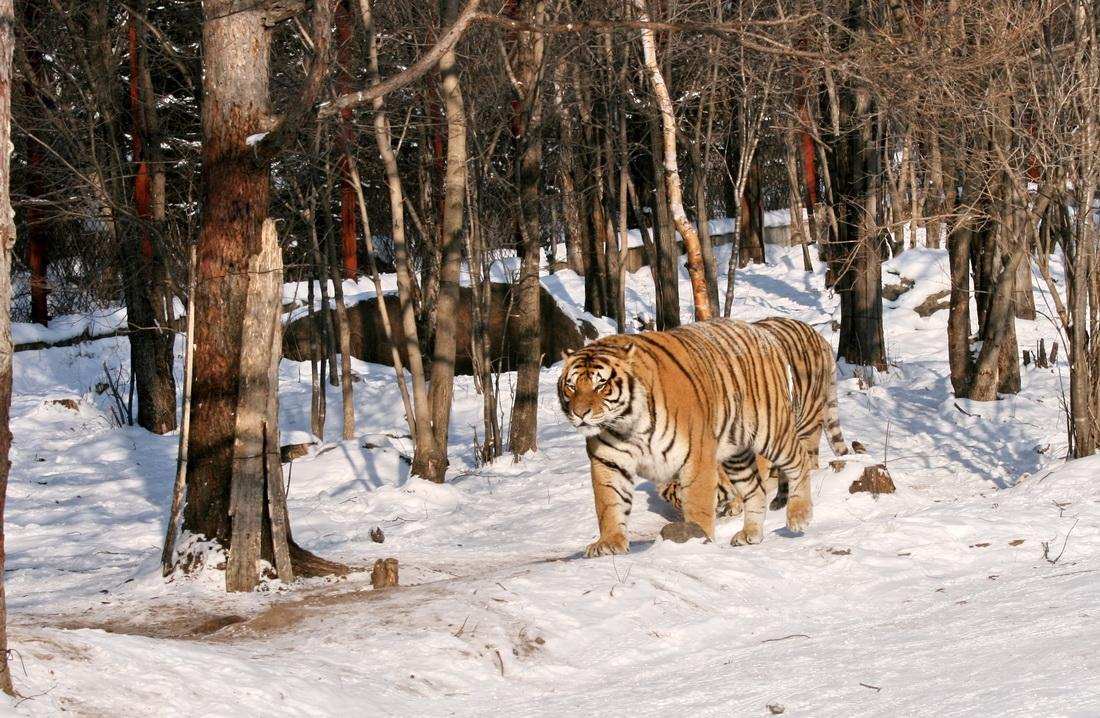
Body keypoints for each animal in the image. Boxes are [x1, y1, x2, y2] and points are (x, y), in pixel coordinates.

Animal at [563, 316, 822, 556]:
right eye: (571, 387)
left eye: (601, 385)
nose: (580, 413)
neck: (628, 424)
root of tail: (758, 329)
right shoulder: (608, 460)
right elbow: (609, 502)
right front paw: (609, 543)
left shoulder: (696, 457)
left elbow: (698, 505)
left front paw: (697, 540)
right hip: (737, 453)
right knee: (755, 490)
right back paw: (751, 534)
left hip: (771, 431)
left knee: (800, 459)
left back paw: (799, 515)